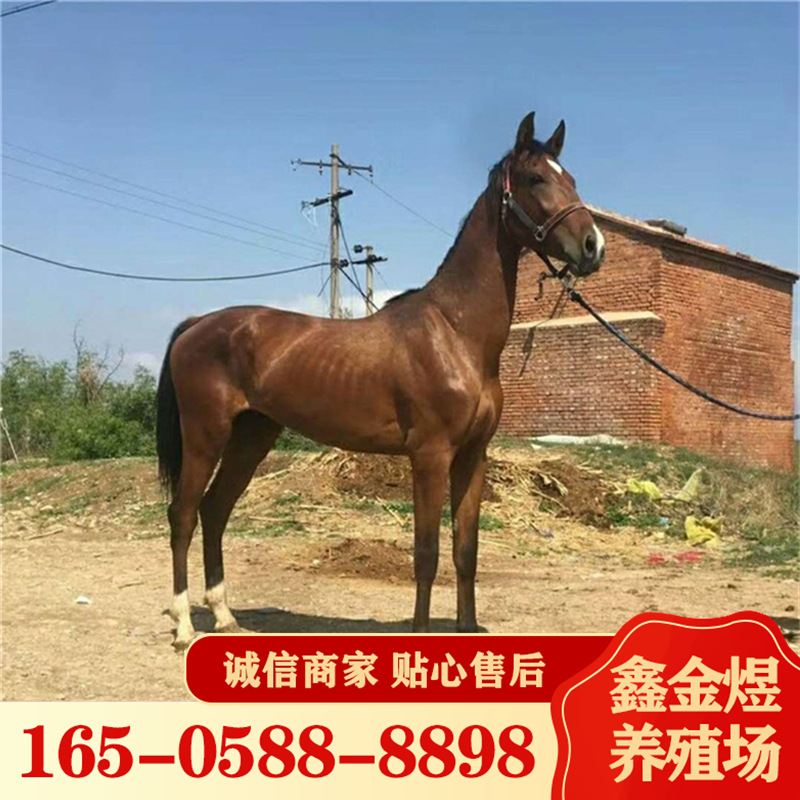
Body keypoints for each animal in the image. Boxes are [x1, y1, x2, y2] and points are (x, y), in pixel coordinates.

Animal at [156, 112, 605, 649]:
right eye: (537, 178)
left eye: (571, 178)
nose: (593, 246)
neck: (456, 332)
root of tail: (197, 324)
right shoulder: (430, 456)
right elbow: (427, 553)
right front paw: (420, 633)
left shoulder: (473, 457)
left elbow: (466, 550)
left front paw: (467, 628)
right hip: (206, 436)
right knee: (183, 515)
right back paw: (184, 626)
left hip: (252, 436)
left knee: (215, 511)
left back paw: (224, 618)